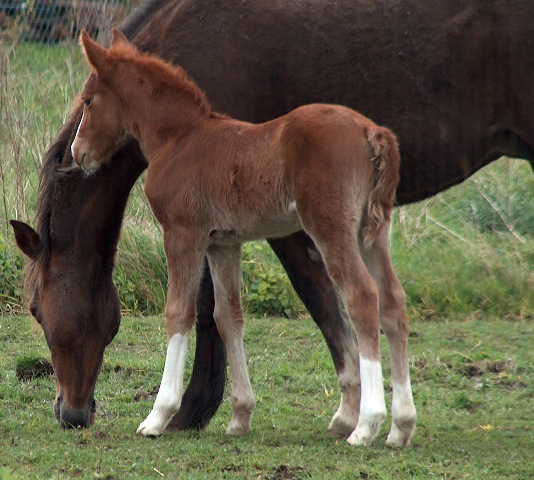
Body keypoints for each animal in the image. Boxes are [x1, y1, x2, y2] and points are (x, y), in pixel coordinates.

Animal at [8, 0, 534, 436]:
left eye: (88, 100)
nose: (71, 414)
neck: (183, 136)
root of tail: (373, 133)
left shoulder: (185, 233)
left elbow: (183, 312)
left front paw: (163, 415)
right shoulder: (223, 240)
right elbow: (228, 315)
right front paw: (238, 417)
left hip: (332, 230)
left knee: (362, 298)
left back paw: (368, 427)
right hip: (372, 232)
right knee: (392, 302)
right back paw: (400, 425)